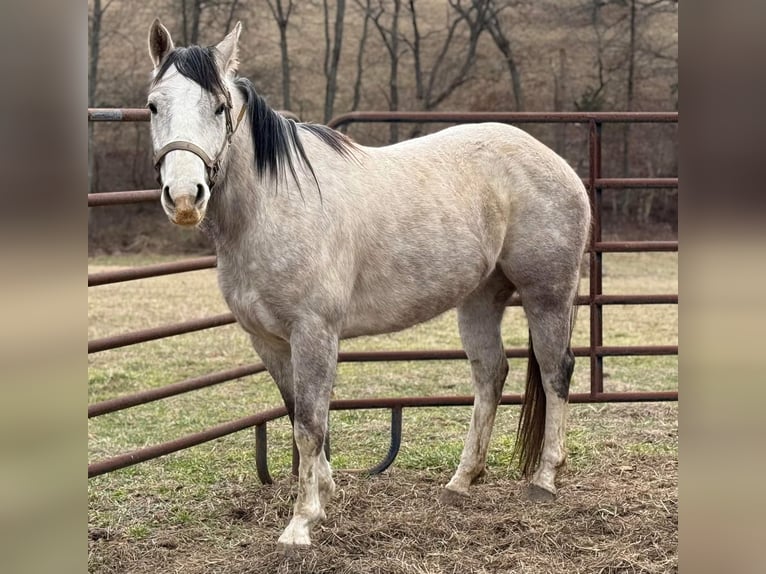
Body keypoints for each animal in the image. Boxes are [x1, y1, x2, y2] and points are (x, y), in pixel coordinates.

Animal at [147, 19, 592, 548]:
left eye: (218, 107)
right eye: (153, 106)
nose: (184, 198)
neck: (273, 205)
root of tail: (556, 163)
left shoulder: (314, 333)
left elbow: (310, 424)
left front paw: (301, 523)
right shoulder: (268, 341)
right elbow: (298, 414)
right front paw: (325, 493)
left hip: (548, 294)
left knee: (555, 371)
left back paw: (544, 479)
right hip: (480, 299)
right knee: (490, 375)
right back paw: (462, 481)